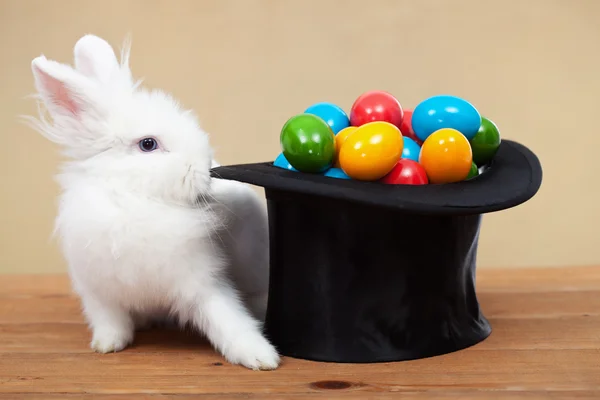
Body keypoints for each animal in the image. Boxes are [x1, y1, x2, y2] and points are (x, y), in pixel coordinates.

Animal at [26, 34, 282, 372]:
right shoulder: (98, 290)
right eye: (148, 144)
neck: (133, 199)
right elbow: (110, 321)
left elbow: (228, 319)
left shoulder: (204, 282)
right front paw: (108, 345)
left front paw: (261, 357)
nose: (205, 167)